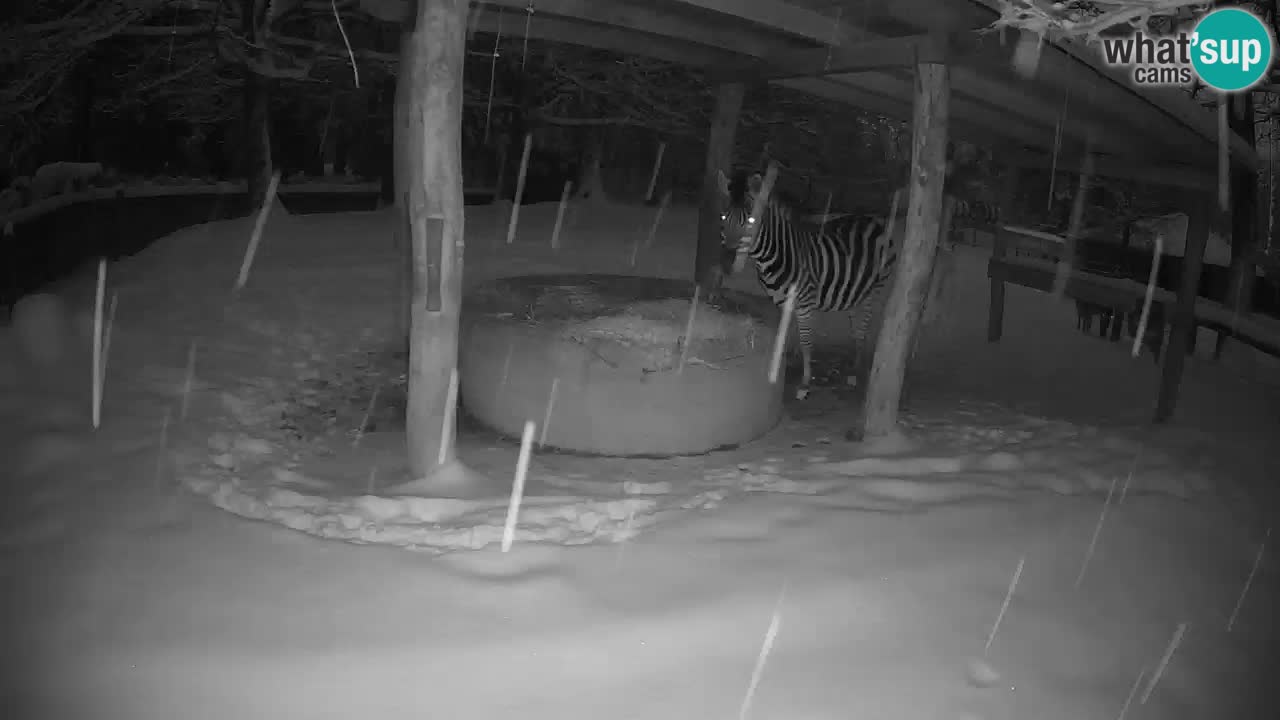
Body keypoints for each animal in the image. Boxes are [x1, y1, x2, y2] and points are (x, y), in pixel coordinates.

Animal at [716, 169, 898, 400]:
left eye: (750, 220)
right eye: (723, 217)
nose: (726, 262)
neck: (774, 257)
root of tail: (873, 221)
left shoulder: (805, 303)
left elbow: (806, 342)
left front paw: (804, 383)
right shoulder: (782, 303)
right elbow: (784, 337)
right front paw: (780, 367)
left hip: (876, 288)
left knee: (863, 328)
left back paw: (855, 373)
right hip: (855, 292)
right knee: (855, 325)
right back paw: (852, 366)